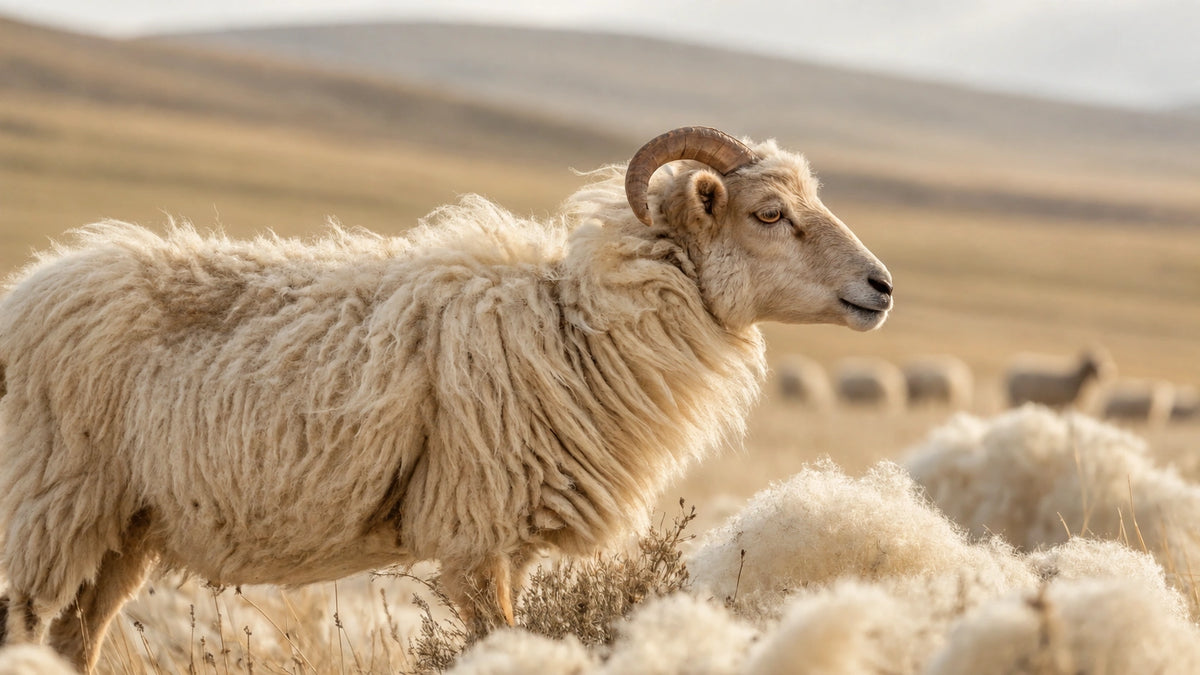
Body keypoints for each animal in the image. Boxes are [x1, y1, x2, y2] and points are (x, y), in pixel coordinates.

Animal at [0, 126, 893, 670]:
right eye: (770, 213)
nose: (881, 286)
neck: (575, 324)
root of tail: (24, 292)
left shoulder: (514, 534)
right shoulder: (471, 527)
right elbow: (494, 641)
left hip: (123, 523)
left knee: (74, 639)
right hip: (45, 506)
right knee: (26, 626)